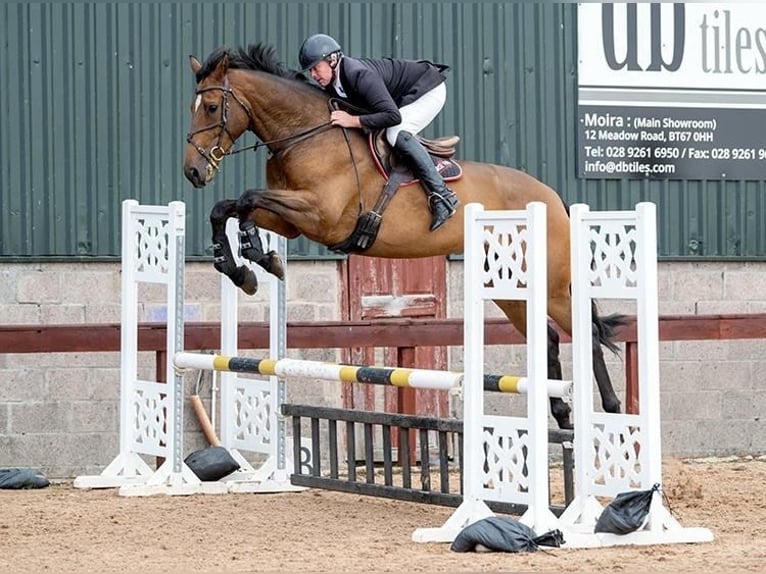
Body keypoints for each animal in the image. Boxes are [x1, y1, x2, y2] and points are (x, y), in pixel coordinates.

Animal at [183, 44, 628, 432]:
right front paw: (245, 266)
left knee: (587, 338)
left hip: (549, 286)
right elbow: (226, 208)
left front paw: (253, 257)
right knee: (549, 340)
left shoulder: (319, 215)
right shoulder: (294, 222)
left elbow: (245, 198)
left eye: (211, 108)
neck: (306, 134)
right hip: (510, 285)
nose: (192, 172)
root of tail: (553, 198)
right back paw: (563, 417)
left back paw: (612, 412)